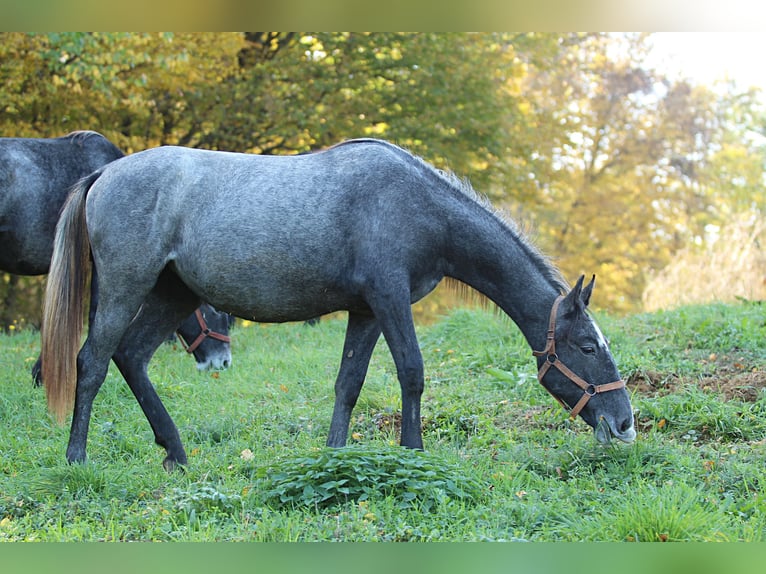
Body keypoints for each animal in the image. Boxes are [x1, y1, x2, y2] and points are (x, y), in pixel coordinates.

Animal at [40, 141, 636, 472]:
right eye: (587, 346)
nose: (625, 423)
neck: (420, 206)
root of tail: (104, 175)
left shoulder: (367, 311)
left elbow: (348, 383)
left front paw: (335, 456)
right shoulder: (390, 298)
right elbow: (412, 372)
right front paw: (413, 454)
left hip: (173, 294)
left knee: (132, 357)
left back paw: (176, 454)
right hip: (126, 286)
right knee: (92, 362)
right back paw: (77, 460)